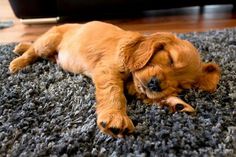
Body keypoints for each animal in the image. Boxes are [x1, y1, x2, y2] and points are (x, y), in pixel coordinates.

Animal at [8, 21, 220, 137]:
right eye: (170, 59)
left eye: (180, 86)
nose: (155, 84)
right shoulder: (108, 70)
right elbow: (114, 93)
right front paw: (115, 118)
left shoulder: (137, 86)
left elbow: (148, 96)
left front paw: (178, 104)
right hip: (49, 41)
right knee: (34, 49)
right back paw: (17, 60)